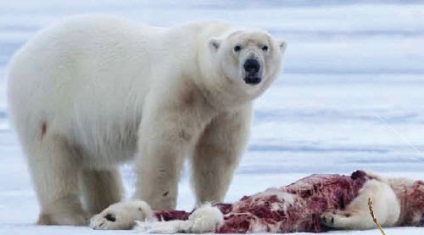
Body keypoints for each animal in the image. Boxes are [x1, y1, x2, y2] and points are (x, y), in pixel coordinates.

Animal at [6, 15, 286, 226]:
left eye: (265, 47)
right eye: (237, 47)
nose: (252, 65)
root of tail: (19, 56)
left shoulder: (226, 110)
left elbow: (217, 153)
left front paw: (211, 202)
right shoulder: (178, 87)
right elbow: (163, 145)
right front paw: (158, 206)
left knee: (94, 164)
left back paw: (106, 204)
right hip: (47, 101)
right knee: (52, 160)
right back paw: (70, 215)